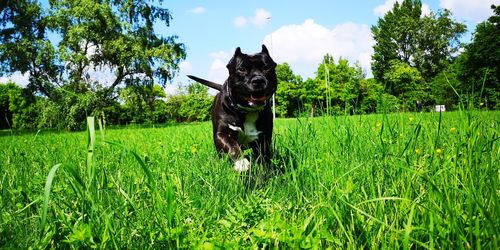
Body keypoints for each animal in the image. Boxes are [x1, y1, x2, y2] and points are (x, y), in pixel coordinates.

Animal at [189, 44, 280, 172]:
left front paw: (266, 171)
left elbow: (263, 157)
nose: (258, 80)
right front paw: (241, 162)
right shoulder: (222, 134)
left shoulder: (264, 138)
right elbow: (232, 147)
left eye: (267, 68)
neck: (246, 111)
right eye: (241, 69)